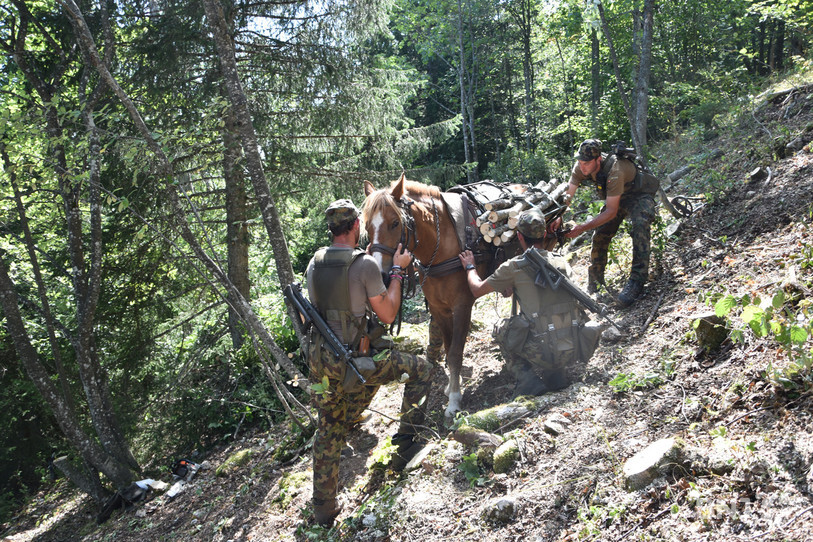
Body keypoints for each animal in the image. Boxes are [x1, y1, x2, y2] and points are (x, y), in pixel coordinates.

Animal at [362, 173, 489, 419]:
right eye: (367, 227)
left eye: (395, 223)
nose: (380, 276)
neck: (443, 249)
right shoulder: (440, 309)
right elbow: (448, 349)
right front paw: (452, 387)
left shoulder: (462, 306)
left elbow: (455, 353)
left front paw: (454, 401)